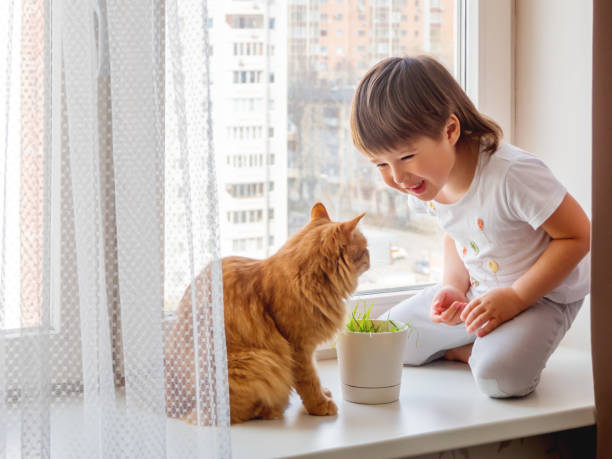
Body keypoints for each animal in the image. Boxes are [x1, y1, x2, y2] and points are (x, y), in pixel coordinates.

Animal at [165, 203, 370, 426]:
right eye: (365, 248)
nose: (371, 258)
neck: (308, 277)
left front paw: (324, 393)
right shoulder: (298, 348)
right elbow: (309, 381)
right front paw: (320, 404)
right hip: (257, 361)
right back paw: (271, 410)